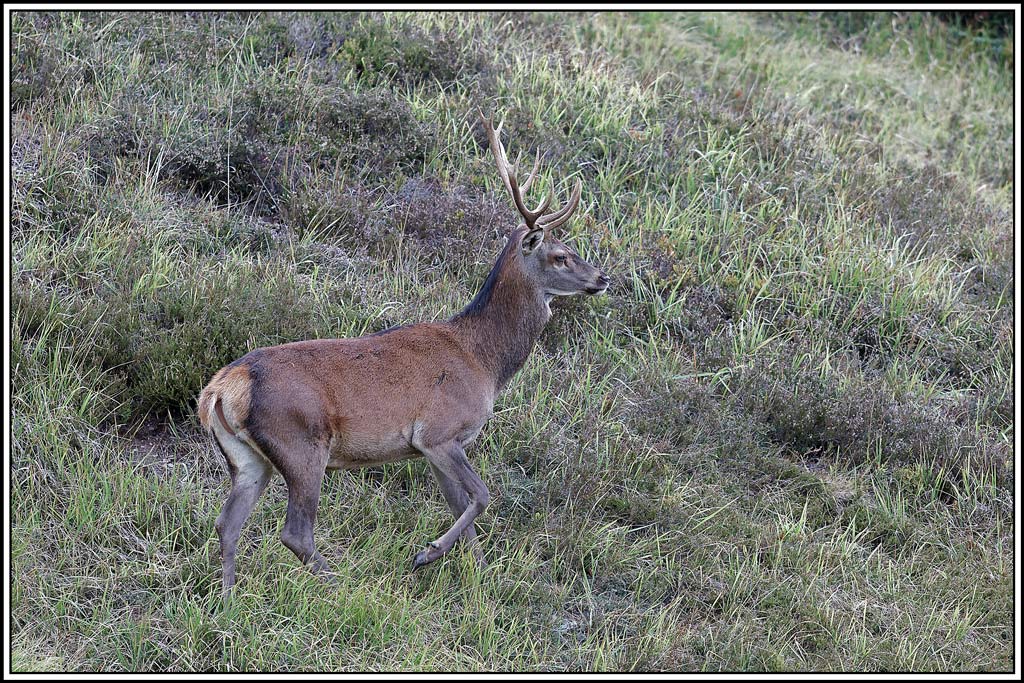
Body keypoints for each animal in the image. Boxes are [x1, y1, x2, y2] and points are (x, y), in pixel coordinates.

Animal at [197, 111, 610, 594]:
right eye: (561, 255)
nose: (602, 277)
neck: (484, 361)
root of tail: (221, 389)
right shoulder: (438, 431)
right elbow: (483, 495)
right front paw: (426, 554)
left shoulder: (436, 447)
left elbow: (464, 511)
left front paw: (477, 578)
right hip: (301, 442)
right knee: (295, 532)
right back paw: (340, 584)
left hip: (247, 457)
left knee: (228, 523)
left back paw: (228, 597)